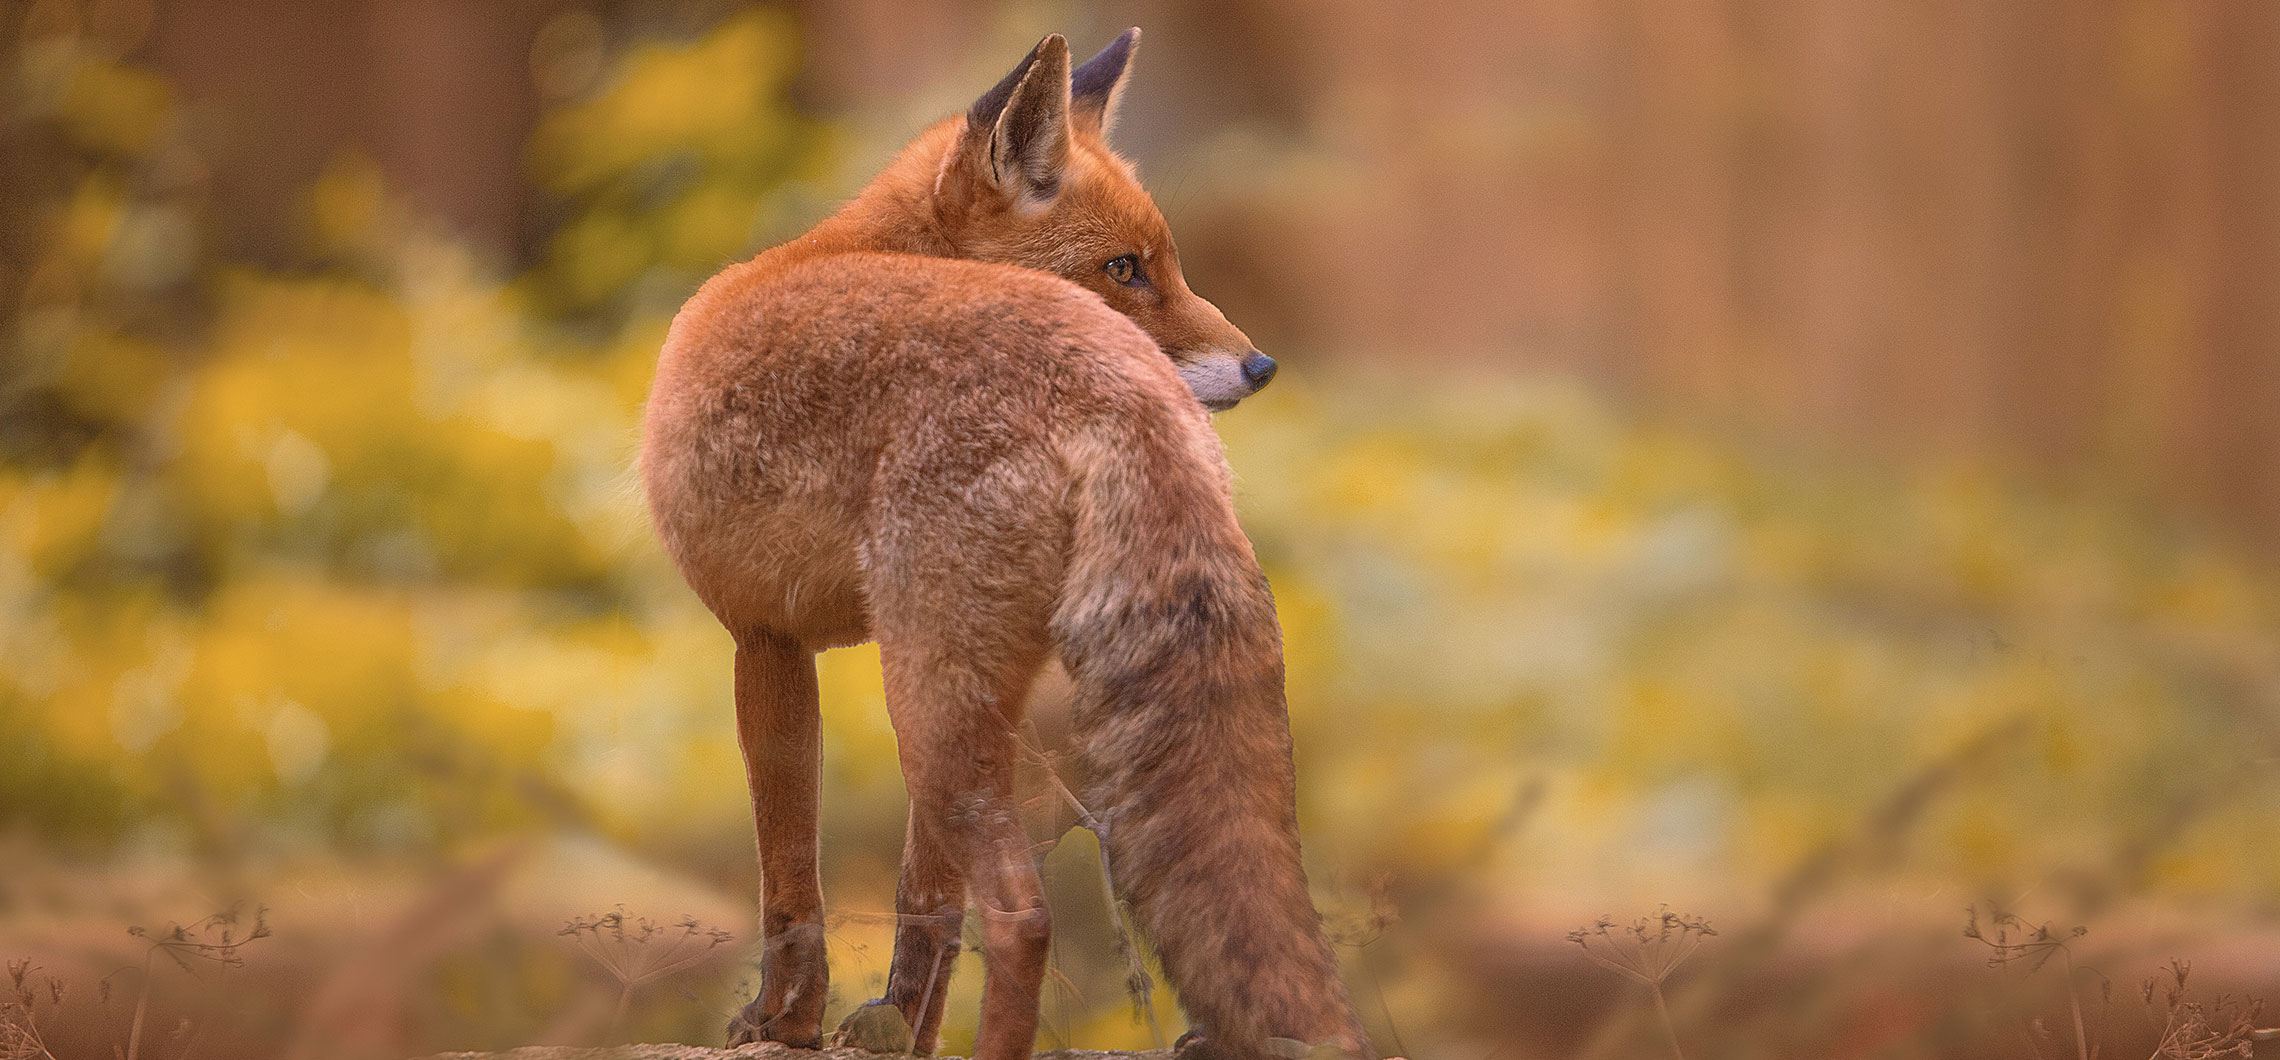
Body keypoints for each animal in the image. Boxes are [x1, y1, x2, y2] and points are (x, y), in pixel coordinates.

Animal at [640, 28, 1369, 1060]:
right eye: (1127, 268)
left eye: (1165, 265)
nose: (1263, 366)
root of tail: (1115, 390)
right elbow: (925, 901)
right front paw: (897, 1030)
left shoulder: (762, 640)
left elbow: (790, 882)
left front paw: (784, 1022)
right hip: (976, 699)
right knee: (978, 904)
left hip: (927, 703)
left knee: (1023, 916)